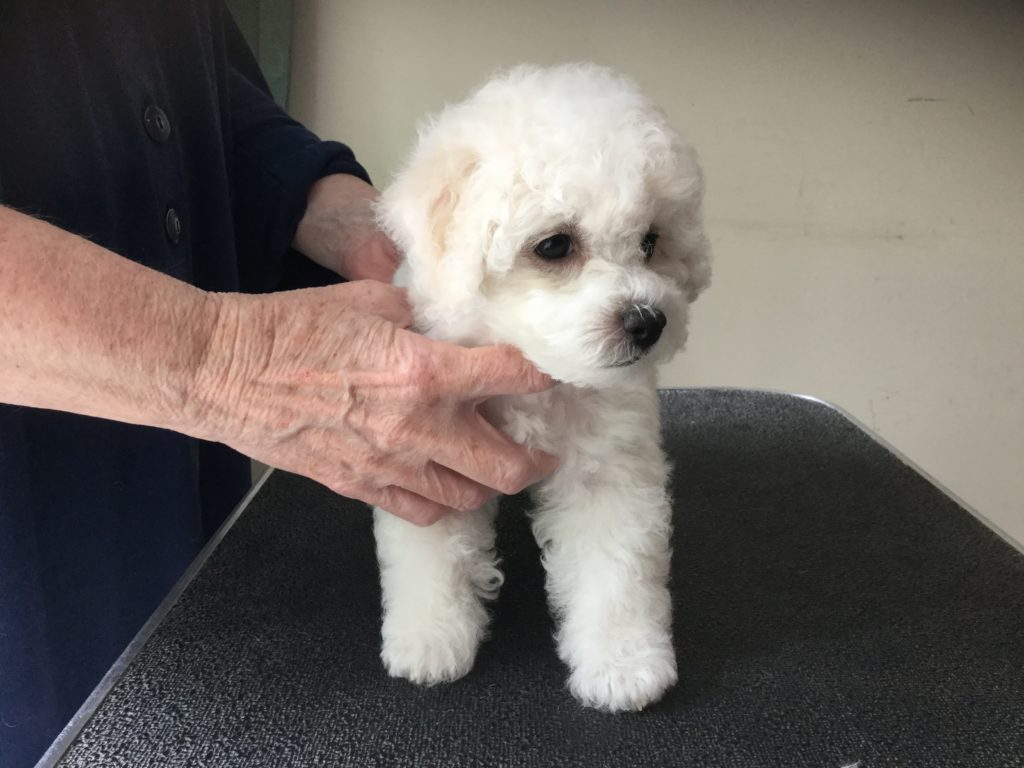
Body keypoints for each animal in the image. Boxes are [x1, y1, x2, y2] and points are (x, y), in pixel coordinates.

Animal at [370, 63, 712, 712]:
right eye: (554, 245)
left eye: (650, 241)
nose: (648, 321)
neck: (536, 371)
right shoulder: (429, 456)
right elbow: (433, 557)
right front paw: (430, 638)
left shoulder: (610, 469)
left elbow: (616, 569)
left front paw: (624, 663)